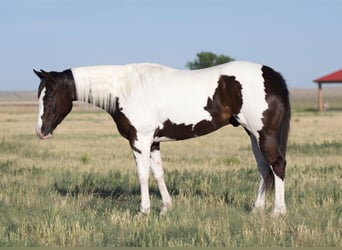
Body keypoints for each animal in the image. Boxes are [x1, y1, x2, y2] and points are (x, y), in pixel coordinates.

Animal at [34, 60, 290, 215]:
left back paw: (277, 212)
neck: (126, 89)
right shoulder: (154, 142)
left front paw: (143, 210)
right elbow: (158, 174)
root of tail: (271, 75)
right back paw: (257, 210)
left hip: (263, 134)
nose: (40, 131)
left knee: (277, 165)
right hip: (253, 135)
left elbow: (142, 175)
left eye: (49, 96)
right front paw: (165, 208)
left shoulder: (140, 141)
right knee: (264, 169)